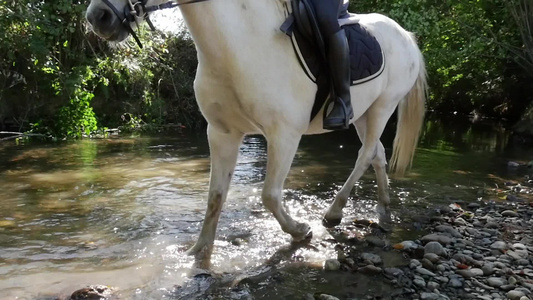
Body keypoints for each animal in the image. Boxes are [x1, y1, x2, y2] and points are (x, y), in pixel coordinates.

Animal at [87, 0, 428, 264]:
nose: (97, 17)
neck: (238, 44)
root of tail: (406, 36)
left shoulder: (284, 134)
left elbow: (269, 195)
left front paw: (300, 231)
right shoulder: (222, 133)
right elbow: (215, 197)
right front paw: (198, 252)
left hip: (384, 106)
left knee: (365, 154)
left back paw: (333, 212)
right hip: (363, 113)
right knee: (377, 154)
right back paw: (383, 205)